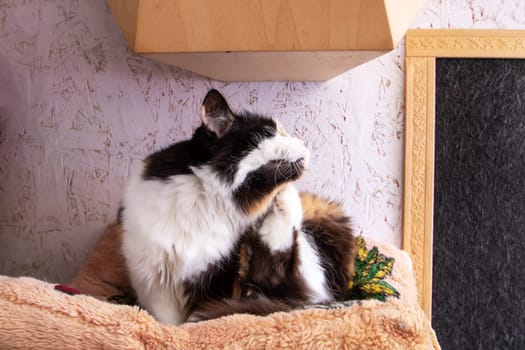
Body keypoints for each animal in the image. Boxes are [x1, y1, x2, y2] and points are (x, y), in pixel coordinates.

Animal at [120, 89, 314, 324]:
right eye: (270, 131)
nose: (305, 142)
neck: (207, 200)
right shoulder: (155, 282)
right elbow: (168, 323)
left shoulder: (219, 276)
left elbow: (198, 319)